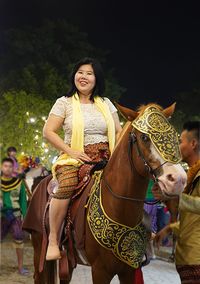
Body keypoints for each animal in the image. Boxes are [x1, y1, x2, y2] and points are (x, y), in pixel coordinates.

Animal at [23, 102, 188, 284]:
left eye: (174, 136)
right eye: (144, 138)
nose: (178, 180)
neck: (119, 207)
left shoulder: (129, 269)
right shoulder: (100, 270)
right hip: (40, 247)